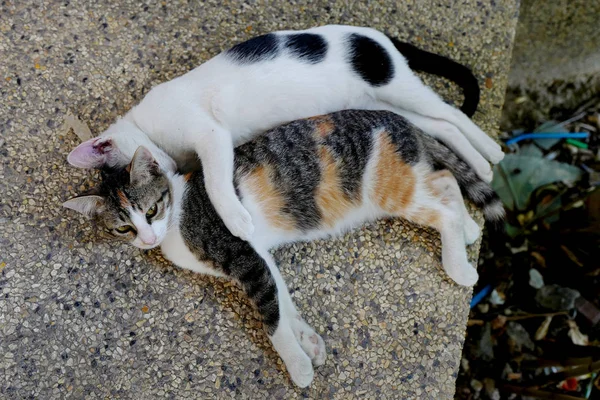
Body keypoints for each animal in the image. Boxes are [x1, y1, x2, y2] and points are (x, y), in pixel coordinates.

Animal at [63, 110, 504, 388]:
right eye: (123, 228)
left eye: (151, 210)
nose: (147, 238)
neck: (179, 209)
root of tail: (402, 120)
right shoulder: (260, 255)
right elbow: (283, 300)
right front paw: (308, 343)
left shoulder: (243, 256)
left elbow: (271, 319)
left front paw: (297, 367)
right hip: (407, 179)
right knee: (446, 180)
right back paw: (468, 229)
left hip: (390, 189)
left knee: (442, 201)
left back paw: (459, 263)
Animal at [65, 25, 504, 245]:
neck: (148, 125)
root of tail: (375, 34)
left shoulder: (210, 134)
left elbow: (217, 182)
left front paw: (236, 220)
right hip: (382, 102)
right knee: (441, 125)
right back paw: (483, 162)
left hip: (395, 84)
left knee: (449, 114)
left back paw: (491, 154)